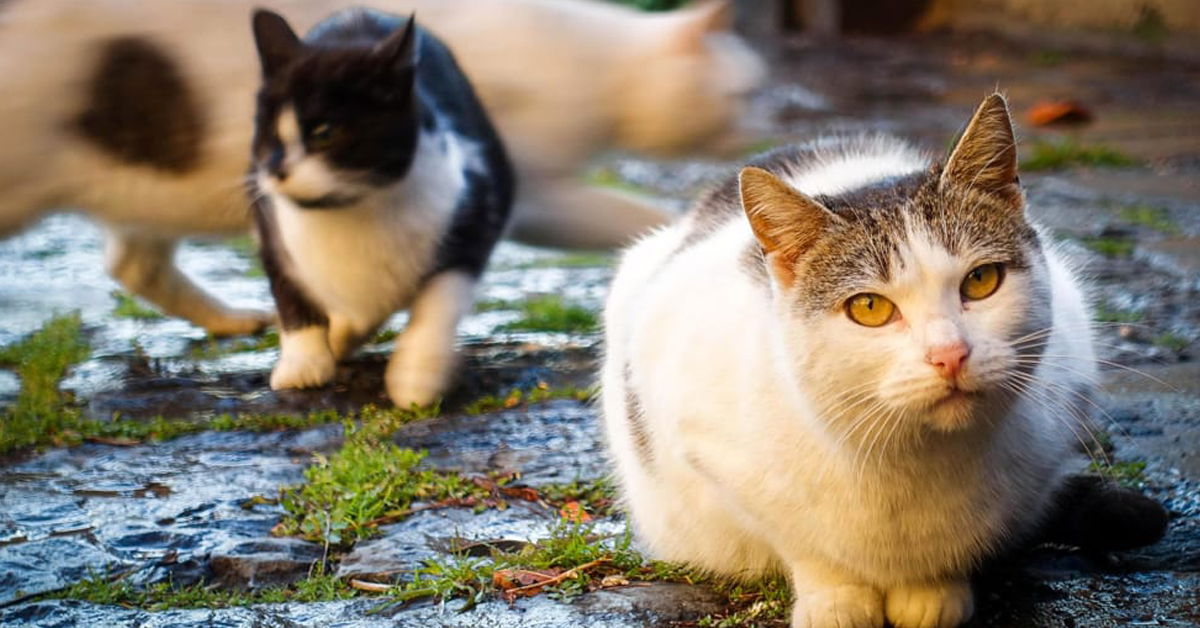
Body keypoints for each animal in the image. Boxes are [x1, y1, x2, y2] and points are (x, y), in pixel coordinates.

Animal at [0, 0, 763, 336]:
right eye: (742, 94)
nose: (763, 117)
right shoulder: (528, 190)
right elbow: (628, 215)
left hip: (143, 189)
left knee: (133, 265)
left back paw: (235, 322)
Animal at [250, 8, 513, 408]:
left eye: (325, 133)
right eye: (266, 133)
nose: (277, 171)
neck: (348, 211)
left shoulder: (477, 206)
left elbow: (440, 297)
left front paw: (416, 376)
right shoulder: (271, 228)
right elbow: (289, 291)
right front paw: (303, 364)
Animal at [600, 94, 1104, 628]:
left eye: (981, 280)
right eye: (869, 308)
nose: (949, 354)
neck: (912, 458)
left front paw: (932, 590)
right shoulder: (700, 435)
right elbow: (802, 542)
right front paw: (836, 598)